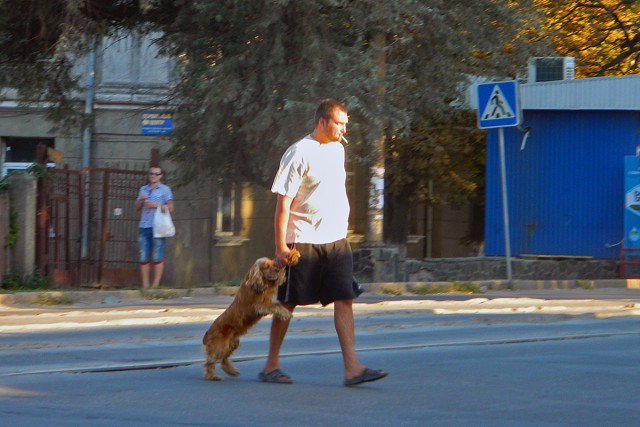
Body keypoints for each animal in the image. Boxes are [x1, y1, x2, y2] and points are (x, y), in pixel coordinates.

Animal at [202, 249, 300, 382]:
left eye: (273, 264)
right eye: (266, 266)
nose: (276, 270)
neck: (257, 281)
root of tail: (207, 334)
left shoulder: (270, 287)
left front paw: (291, 255)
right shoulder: (259, 305)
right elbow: (275, 305)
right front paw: (285, 313)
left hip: (233, 343)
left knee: (223, 359)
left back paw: (231, 371)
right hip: (220, 346)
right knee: (210, 362)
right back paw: (212, 376)